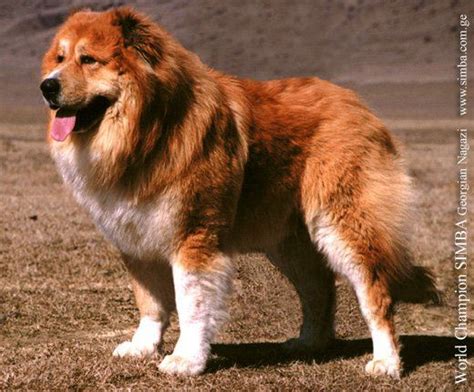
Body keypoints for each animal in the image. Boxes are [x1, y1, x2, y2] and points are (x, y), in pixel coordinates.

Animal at [40, 6, 440, 378]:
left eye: (88, 59)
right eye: (59, 58)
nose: (47, 86)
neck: (150, 132)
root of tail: (360, 107)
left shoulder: (193, 238)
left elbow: (190, 304)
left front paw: (185, 360)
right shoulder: (135, 239)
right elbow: (150, 302)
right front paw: (142, 347)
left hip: (343, 225)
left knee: (375, 294)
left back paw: (385, 362)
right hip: (288, 243)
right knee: (319, 289)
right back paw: (308, 343)